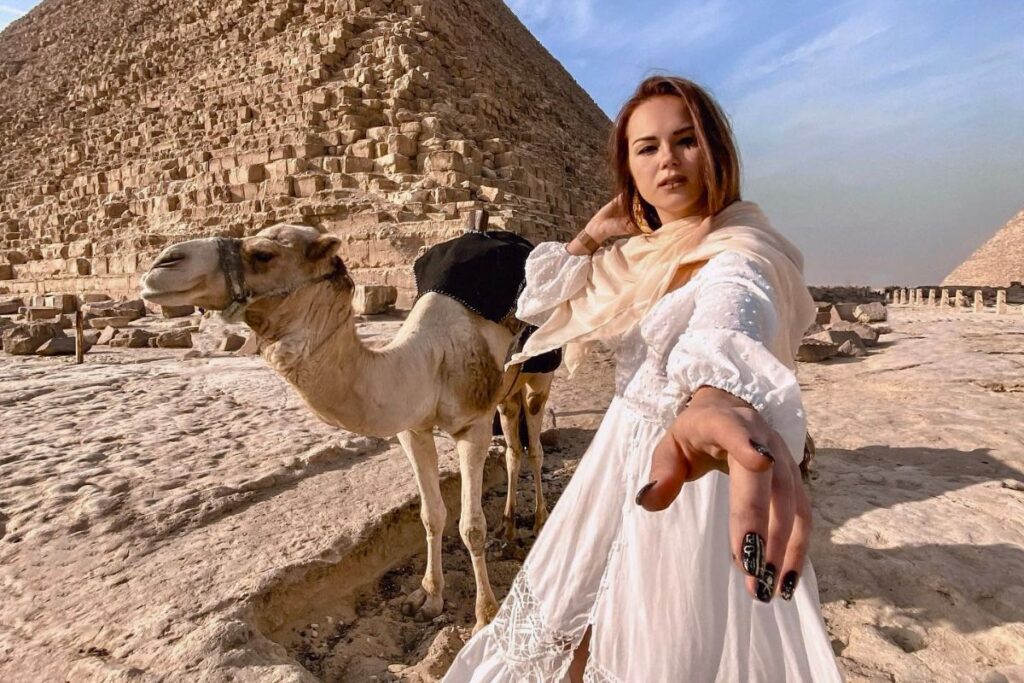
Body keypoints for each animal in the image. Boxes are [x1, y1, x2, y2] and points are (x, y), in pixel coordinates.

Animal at [141, 223, 557, 630]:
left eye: (263, 254)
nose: (163, 264)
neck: (427, 362)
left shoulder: (473, 425)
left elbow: (470, 527)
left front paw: (485, 616)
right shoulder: (412, 429)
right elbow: (432, 515)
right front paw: (428, 597)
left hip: (539, 378)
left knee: (534, 447)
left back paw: (539, 523)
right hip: (507, 392)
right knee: (513, 448)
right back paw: (508, 530)